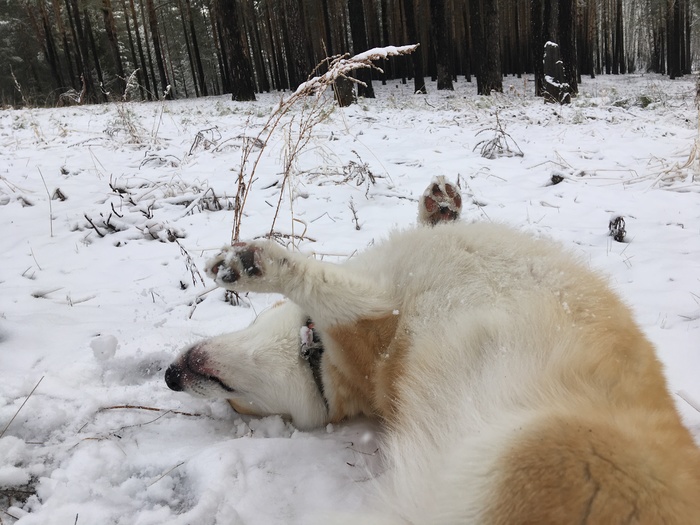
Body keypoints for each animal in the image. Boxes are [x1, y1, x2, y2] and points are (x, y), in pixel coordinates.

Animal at [165, 178, 700, 520]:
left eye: (237, 402)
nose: (170, 377)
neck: (317, 357)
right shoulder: (374, 312)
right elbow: (322, 282)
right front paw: (254, 267)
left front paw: (440, 206)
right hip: (546, 452)